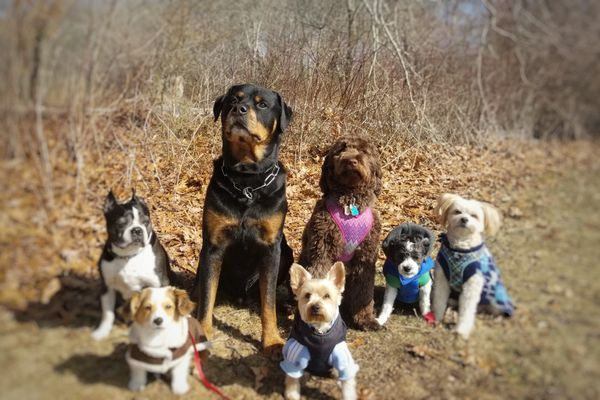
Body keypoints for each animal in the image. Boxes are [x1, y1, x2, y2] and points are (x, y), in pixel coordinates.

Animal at [192, 83, 292, 350]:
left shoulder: (271, 248)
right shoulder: (213, 246)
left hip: (287, 253)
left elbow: (268, 302)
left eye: (262, 104)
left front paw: (272, 339)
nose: (239, 109)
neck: (247, 181)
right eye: (232, 101)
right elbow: (207, 296)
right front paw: (204, 332)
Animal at [298, 136, 382, 330]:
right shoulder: (321, 250)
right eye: (341, 150)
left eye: (364, 151)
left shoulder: (365, 257)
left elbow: (364, 290)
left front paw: (365, 320)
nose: (350, 160)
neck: (350, 202)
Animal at [432, 195, 516, 340]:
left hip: (496, 301)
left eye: (474, 216)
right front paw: (435, 318)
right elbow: (439, 299)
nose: (464, 219)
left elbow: (467, 310)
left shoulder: (472, 284)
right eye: (457, 212)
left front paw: (461, 330)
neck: (460, 249)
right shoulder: (442, 277)